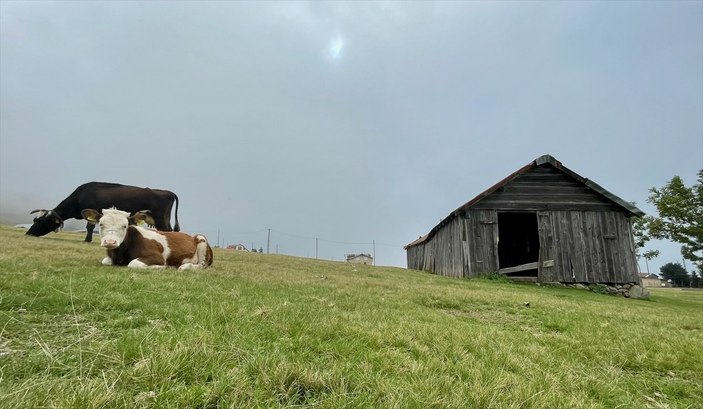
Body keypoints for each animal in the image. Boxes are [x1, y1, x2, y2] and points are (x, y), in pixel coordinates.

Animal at [26, 182, 182, 242]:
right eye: (35, 220)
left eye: (40, 222)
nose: (28, 233)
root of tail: (167, 192)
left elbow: (89, 227)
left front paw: (87, 240)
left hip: (160, 218)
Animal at [80, 209, 212, 270]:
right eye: (101, 224)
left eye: (125, 226)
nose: (110, 242)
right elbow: (105, 261)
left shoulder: (157, 257)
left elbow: (133, 263)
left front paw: (163, 267)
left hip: (201, 239)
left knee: (201, 265)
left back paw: (184, 267)